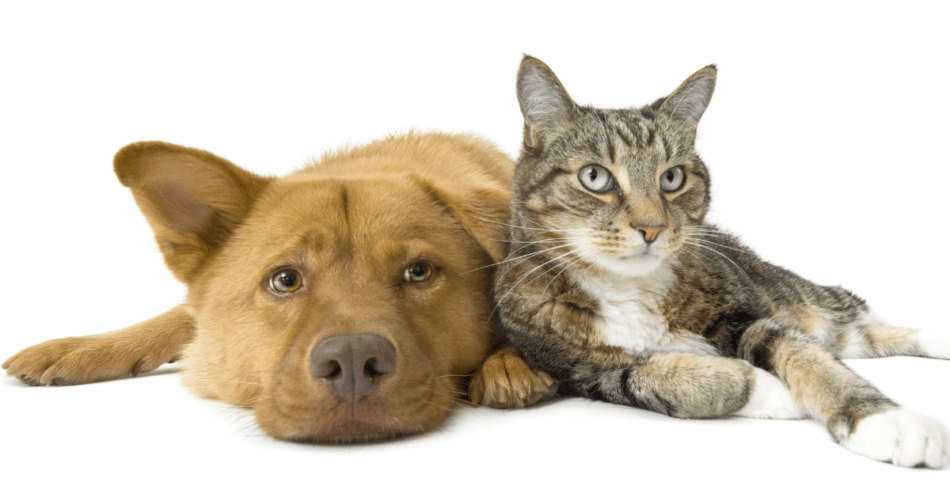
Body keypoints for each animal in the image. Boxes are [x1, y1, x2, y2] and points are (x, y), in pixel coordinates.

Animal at [1, 132, 556, 442]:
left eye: (418, 272)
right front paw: (86, 346)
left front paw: (508, 362)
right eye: (285, 279)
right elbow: (180, 316)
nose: (352, 363)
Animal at [498, 56, 950, 466]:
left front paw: (881, 418)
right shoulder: (575, 367)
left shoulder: (744, 313)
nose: (651, 227)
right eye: (594, 177)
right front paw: (771, 390)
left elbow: (801, 354)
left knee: (858, 322)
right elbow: (656, 378)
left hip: (800, 298)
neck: (629, 289)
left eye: (672, 178)